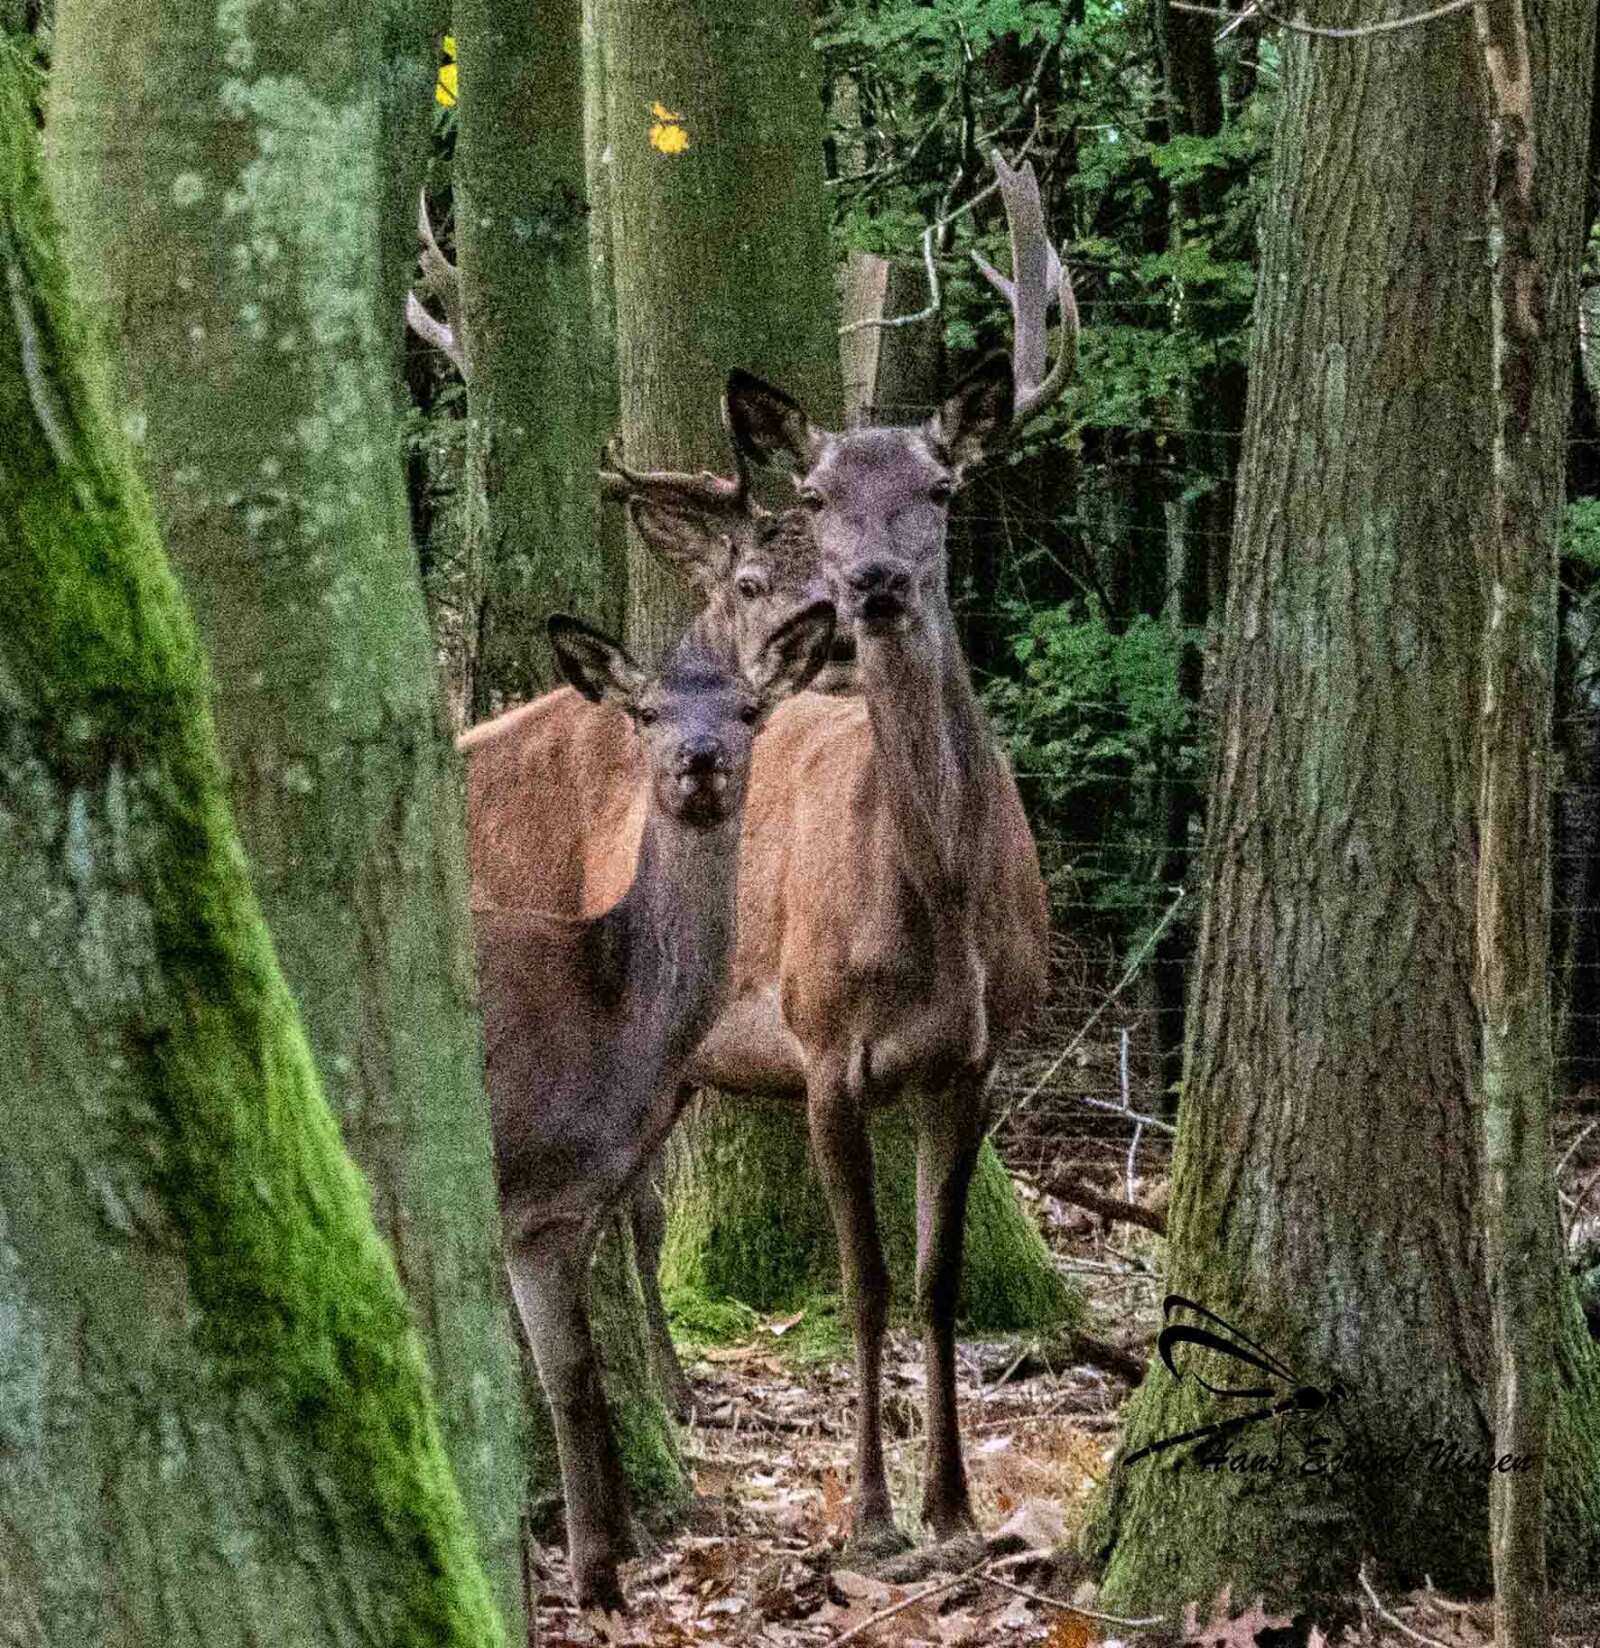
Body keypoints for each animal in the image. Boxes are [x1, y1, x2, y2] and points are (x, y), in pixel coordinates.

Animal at [476, 602, 835, 1613]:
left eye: (750, 709)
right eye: (645, 712)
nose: (699, 757)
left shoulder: (586, 1199)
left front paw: (606, 1552)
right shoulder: (533, 1197)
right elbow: (569, 1380)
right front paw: (595, 1577)